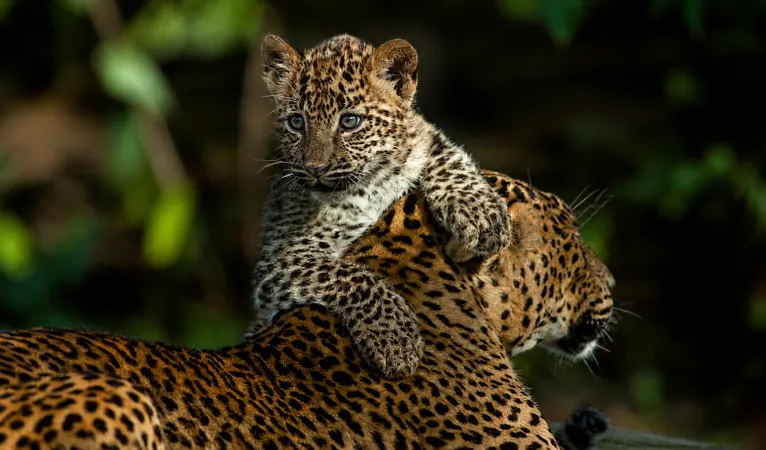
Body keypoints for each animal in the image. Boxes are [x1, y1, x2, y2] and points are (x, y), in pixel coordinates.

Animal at [248, 34, 513, 380]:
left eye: (350, 121)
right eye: (296, 122)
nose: (315, 168)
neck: (369, 185)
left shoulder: (422, 135)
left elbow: (443, 153)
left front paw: (482, 216)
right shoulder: (278, 260)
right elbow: (348, 276)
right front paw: (396, 339)